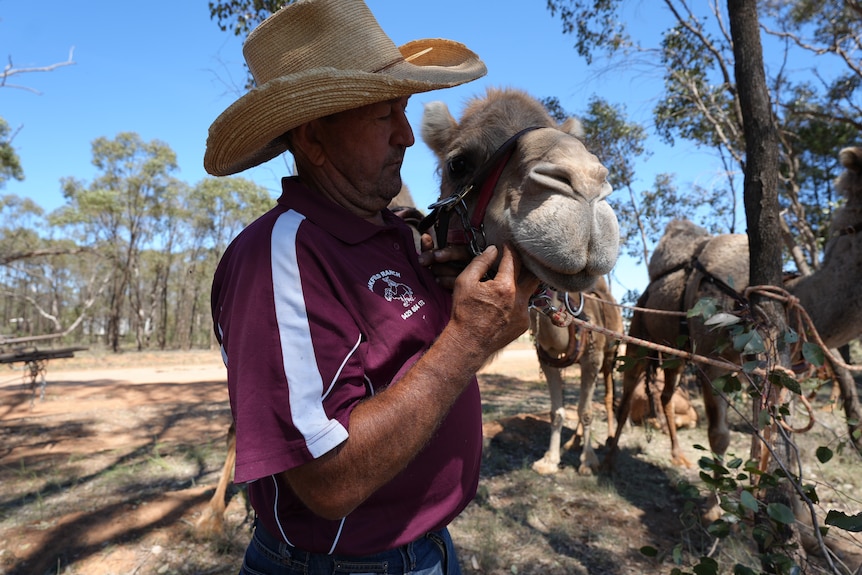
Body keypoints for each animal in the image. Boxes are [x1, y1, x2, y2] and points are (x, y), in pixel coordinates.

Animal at [529, 276, 623, 476]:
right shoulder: (547, 359)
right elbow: (556, 412)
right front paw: (549, 460)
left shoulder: (593, 359)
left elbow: (586, 412)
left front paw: (588, 462)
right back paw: (573, 442)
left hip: (610, 356)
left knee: (608, 396)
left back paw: (610, 439)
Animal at [605, 146, 862, 476]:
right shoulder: (712, 361)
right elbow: (719, 436)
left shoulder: (773, 371)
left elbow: (765, 437)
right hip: (638, 328)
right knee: (628, 389)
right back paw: (608, 461)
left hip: (676, 352)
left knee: (665, 393)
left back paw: (677, 456)